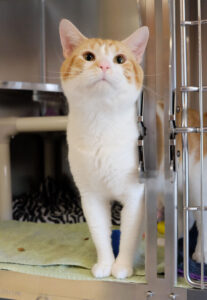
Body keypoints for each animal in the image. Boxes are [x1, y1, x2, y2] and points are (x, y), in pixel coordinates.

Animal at [59, 18, 148, 278]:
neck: (101, 122)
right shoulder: (91, 196)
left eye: (120, 59)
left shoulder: (136, 196)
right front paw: (106, 264)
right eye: (89, 56)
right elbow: (100, 232)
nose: (105, 66)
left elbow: (129, 234)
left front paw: (123, 267)